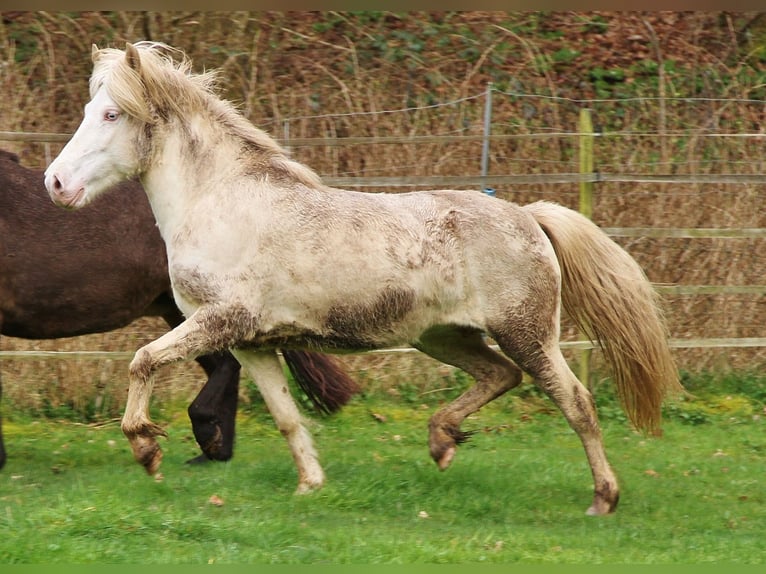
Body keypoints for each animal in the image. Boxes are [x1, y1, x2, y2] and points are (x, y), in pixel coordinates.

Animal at [45, 42, 680, 516]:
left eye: (111, 114)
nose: (55, 183)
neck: (221, 201)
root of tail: (529, 215)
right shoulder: (252, 343)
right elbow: (286, 417)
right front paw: (310, 487)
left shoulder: (221, 319)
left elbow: (142, 361)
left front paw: (146, 449)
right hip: (444, 336)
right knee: (499, 375)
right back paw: (441, 441)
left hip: (528, 334)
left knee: (575, 402)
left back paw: (603, 498)